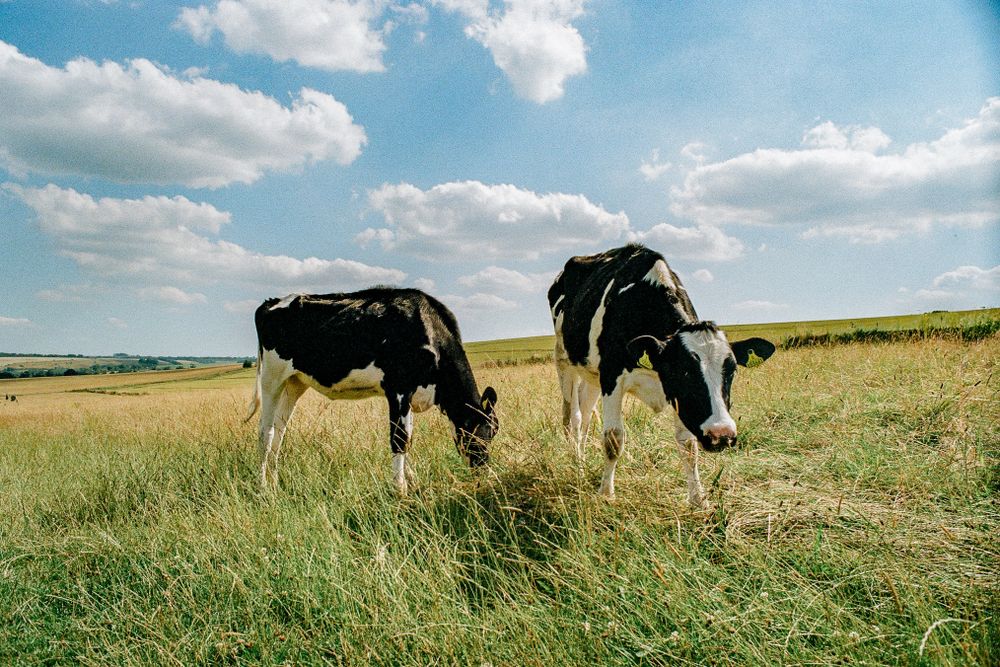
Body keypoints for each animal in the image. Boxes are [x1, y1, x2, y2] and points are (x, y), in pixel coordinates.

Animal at [247, 287, 498, 494]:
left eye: (492, 434)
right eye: (477, 436)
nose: (484, 475)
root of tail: (271, 302)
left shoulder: (410, 395)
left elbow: (408, 436)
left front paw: (411, 482)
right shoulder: (398, 387)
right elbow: (399, 438)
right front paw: (400, 489)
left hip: (294, 383)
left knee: (280, 430)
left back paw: (275, 483)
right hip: (271, 378)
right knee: (266, 432)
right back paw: (263, 487)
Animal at [548, 244, 774, 507]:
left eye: (732, 371)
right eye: (683, 372)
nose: (722, 435)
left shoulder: (676, 397)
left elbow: (688, 445)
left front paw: (698, 500)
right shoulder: (612, 376)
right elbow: (613, 439)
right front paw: (606, 494)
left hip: (591, 373)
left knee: (585, 415)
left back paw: (582, 464)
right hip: (564, 360)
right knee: (574, 418)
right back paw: (578, 465)